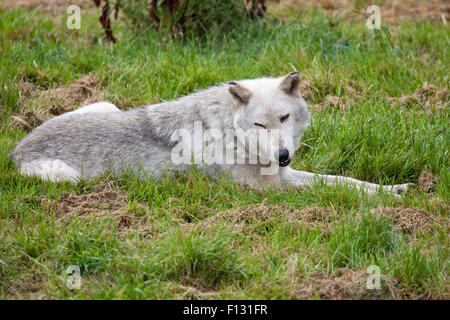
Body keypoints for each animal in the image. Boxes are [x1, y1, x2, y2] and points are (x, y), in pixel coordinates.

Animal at [10, 73, 412, 196]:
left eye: (284, 118)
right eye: (260, 125)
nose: (283, 156)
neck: (231, 133)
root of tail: (15, 150)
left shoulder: (285, 174)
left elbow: (344, 179)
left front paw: (395, 189)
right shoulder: (271, 189)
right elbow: (337, 190)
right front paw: (382, 199)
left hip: (107, 104)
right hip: (68, 179)